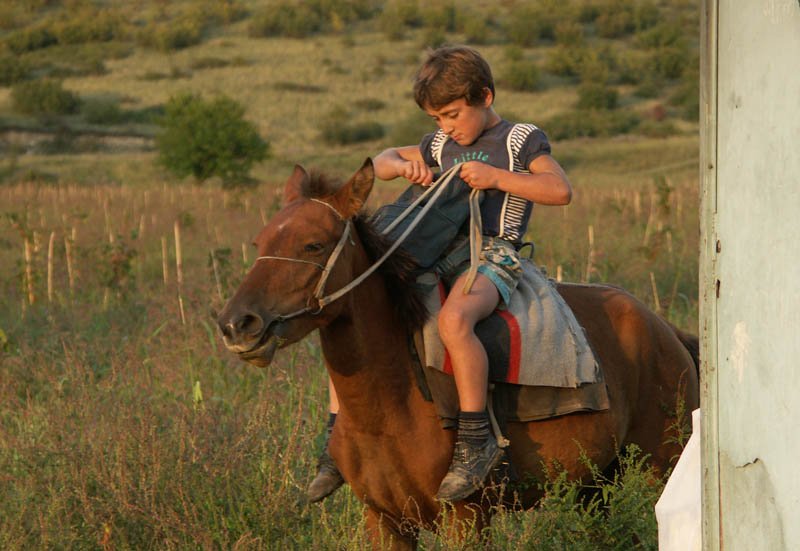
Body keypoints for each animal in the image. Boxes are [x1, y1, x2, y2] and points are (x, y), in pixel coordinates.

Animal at [219, 158, 700, 548]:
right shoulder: (384, 521)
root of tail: (667, 332)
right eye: (261, 242)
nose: (237, 324)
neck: (390, 406)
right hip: (595, 488)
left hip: (658, 472)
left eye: (314, 245)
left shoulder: (465, 520)